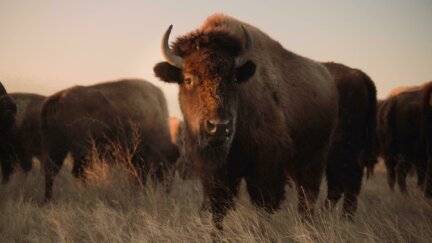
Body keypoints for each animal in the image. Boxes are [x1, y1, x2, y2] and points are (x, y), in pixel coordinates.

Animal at [42, 79, 179, 201]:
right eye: (167, 165)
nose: (167, 189)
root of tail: (58, 97)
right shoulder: (139, 158)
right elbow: (139, 178)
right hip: (80, 151)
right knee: (77, 173)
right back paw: (86, 193)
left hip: (58, 148)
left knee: (51, 171)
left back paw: (48, 200)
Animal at [154, 13, 340, 230]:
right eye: (188, 79)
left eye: (233, 78)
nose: (219, 127)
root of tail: (327, 79)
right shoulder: (215, 173)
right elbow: (218, 210)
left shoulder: (265, 169)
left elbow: (263, 206)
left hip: (314, 159)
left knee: (307, 198)